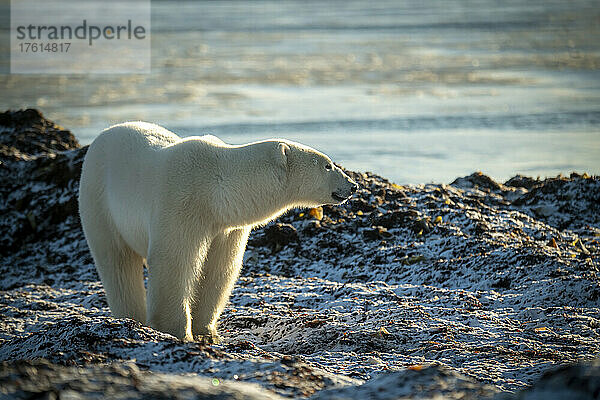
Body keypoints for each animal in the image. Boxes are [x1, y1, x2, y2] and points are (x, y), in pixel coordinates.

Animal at [78, 121, 358, 340]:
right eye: (327, 165)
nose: (353, 185)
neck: (215, 188)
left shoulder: (226, 227)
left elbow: (220, 269)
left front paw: (207, 331)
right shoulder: (180, 204)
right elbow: (174, 263)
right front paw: (179, 332)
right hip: (99, 201)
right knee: (117, 263)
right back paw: (131, 318)